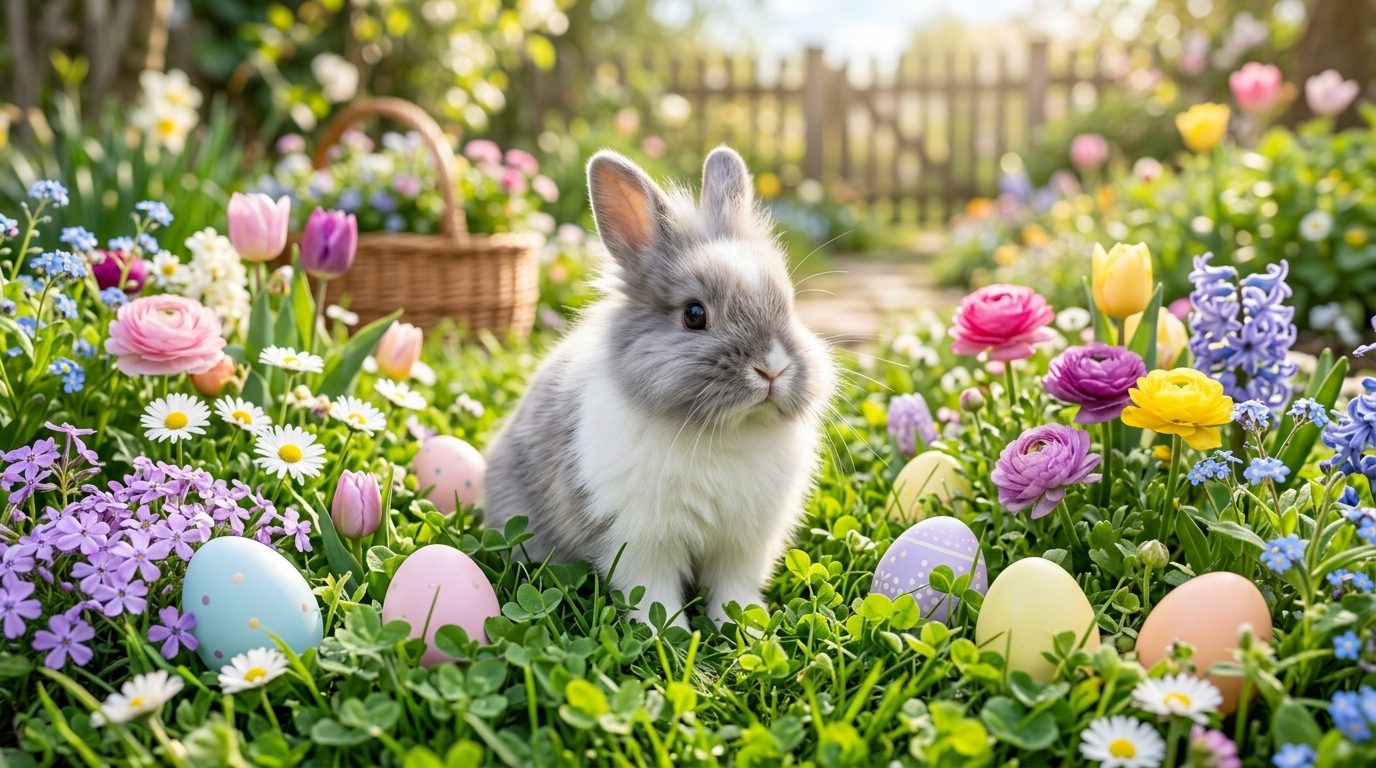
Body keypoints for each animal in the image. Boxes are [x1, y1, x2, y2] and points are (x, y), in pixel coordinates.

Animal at [482, 146, 836, 628]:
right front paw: (666, 633)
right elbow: (654, 595)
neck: (724, 433)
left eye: (790, 305)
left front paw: (747, 628)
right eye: (694, 314)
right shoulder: (642, 543)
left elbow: (733, 591)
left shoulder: (743, 546)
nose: (772, 369)